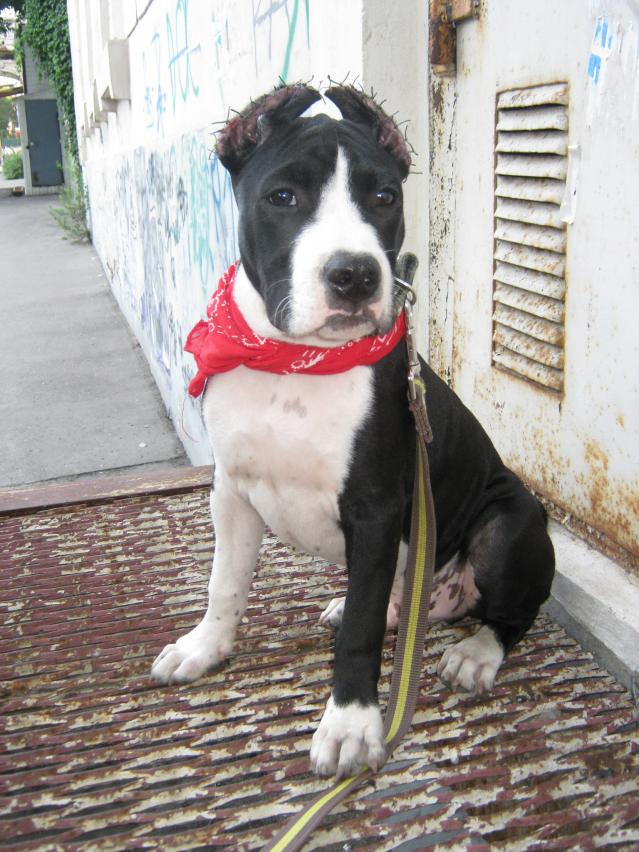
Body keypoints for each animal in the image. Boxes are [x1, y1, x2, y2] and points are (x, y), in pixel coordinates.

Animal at [151, 84, 555, 779]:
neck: (293, 362)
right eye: (283, 197)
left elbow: (363, 633)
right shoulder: (230, 491)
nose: (355, 275)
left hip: (511, 522)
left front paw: (350, 724)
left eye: (385, 197)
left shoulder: (374, 508)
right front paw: (205, 646)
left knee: (511, 614)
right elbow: (224, 582)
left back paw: (475, 651)